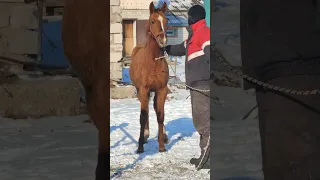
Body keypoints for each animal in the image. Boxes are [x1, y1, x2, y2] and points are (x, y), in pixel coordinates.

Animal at [129, 1, 170, 153]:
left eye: (166, 20)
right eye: (152, 21)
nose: (163, 40)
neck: (153, 61)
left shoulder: (162, 89)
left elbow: (160, 115)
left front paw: (162, 146)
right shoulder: (144, 89)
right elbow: (142, 116)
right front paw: (140, 146)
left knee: (155, 109)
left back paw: (164, 135)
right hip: (141, 92)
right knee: (145, 111)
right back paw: (145, 135)